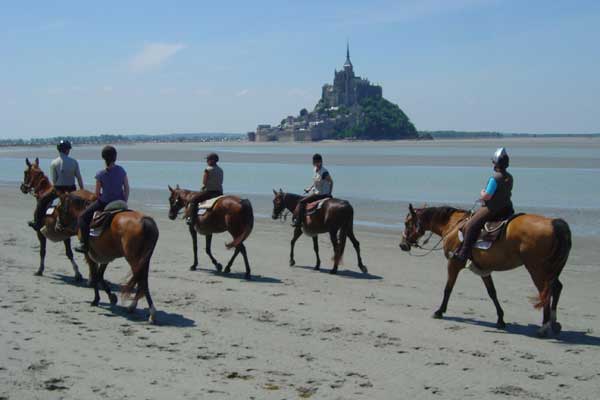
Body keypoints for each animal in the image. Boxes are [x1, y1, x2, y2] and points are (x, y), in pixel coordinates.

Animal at [56, 191, 158, 322]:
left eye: (58, 208)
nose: (57, 226)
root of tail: (145, 221)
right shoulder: (105, 255)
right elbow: (100, 275)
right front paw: (111, 297)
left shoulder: (90, 254)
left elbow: (95, 276)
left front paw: (96, 300)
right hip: (144, 260)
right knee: (142, 281)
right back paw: (134, 307)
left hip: (134, 259)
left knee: (142, 282)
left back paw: (150, 312)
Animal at [398, 203, 572, 338]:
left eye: (407, 223)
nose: (402, 245)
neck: (454, 225)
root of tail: (554, 224)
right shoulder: (484, 269)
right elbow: (492, 293)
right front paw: (500, 319)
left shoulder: (454, 264)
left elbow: (448, 288)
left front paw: (439, 311)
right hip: (552, 269)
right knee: (557, 288)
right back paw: (554, 323)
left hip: (537, 270)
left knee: (545, 292)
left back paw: (544, 327)